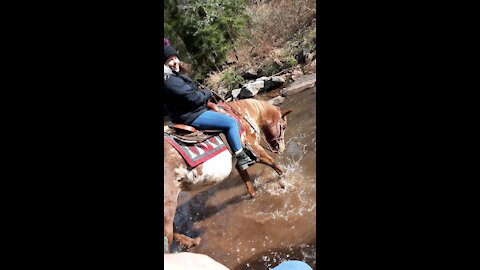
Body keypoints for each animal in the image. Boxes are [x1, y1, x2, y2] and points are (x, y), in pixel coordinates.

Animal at [164, 98, 292, 252]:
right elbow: (274, 164)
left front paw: (254, 195)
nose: (281, 149)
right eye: (283, 127)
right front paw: (285, 181)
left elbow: (246, 179)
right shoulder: (256, 149)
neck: (243, 116)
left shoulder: (239, 159)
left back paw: (193, 242)